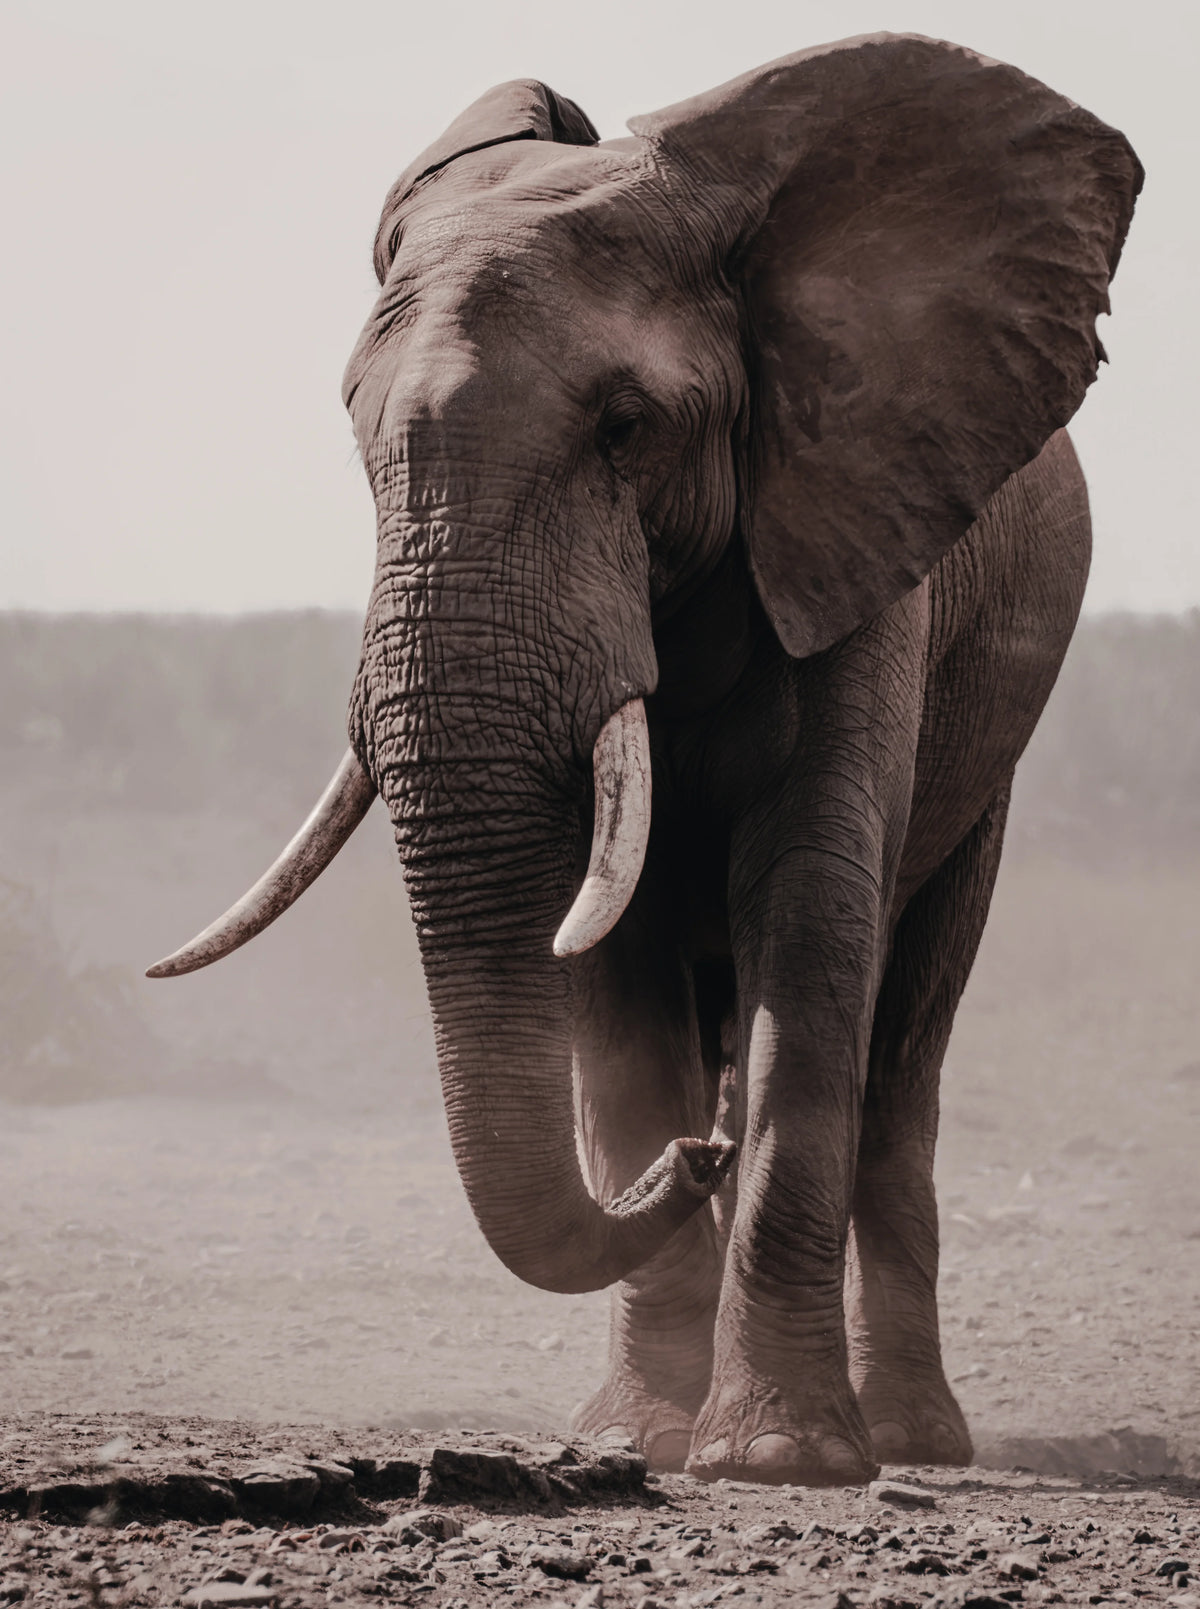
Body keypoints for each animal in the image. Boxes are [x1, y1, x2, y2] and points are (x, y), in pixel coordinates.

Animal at [149, 34, 1141, 1486]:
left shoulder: (853, 536)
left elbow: (814, 924)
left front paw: (778, 1458)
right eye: (356, 436)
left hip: (991, 748)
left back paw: (915, 1434)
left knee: (906, 1046)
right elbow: (606, 972)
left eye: (625, 427)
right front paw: (639, 1438)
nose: (701, 1152)